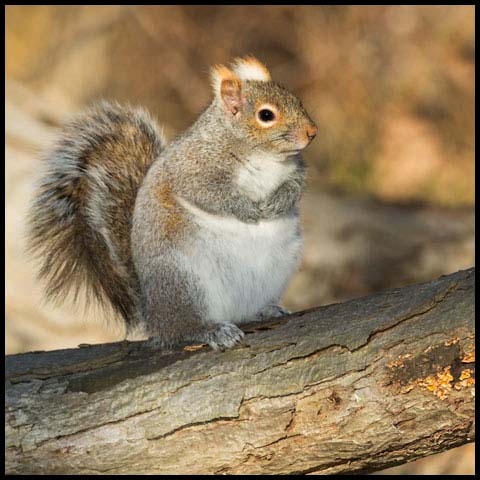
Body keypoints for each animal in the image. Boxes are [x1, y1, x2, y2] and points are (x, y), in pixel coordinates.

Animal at [28, 55, 316, 348]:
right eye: (266, 115)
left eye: (297, 100)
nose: (312, 132)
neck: (262, 154)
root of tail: (153, 314)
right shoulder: (193, 171)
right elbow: (213, 196)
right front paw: (250, 211)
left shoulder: (297, 170)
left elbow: (294, 187)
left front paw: (276, 204)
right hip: (182, 281)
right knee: (181, 329)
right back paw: (211, 330)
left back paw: (266, 309)